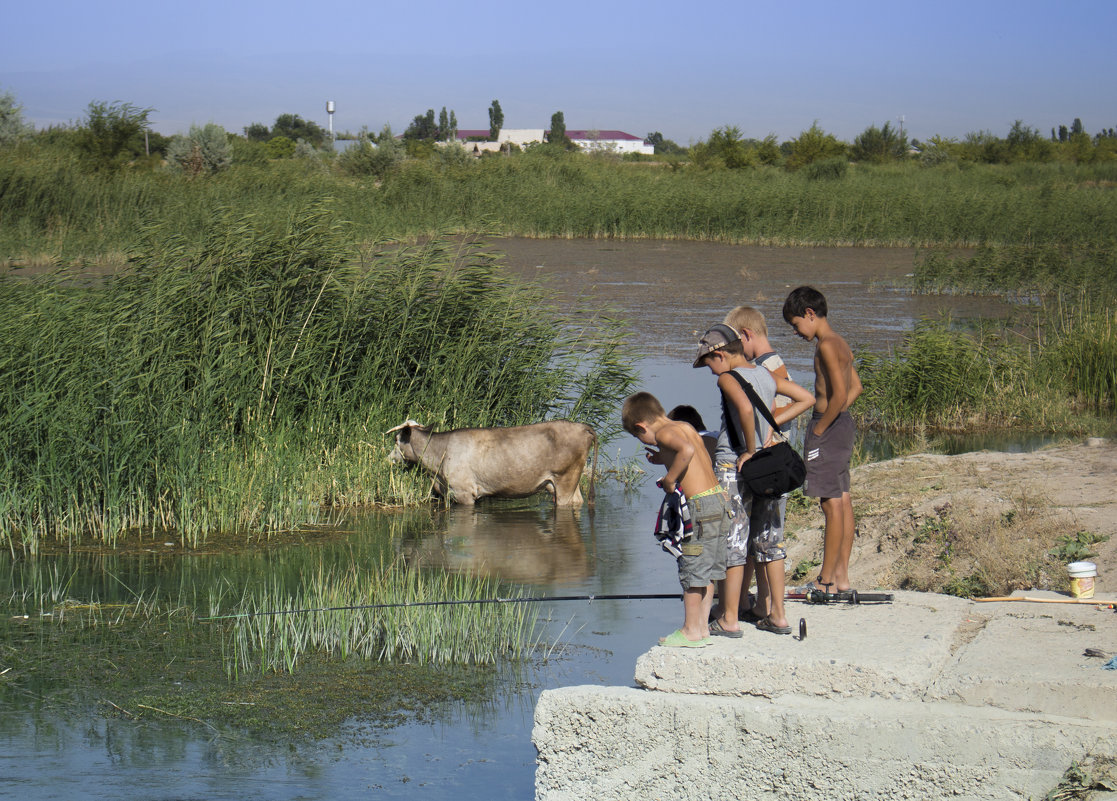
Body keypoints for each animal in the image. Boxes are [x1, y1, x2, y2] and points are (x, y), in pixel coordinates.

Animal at [386, 417, 598, 507]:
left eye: (396, 440)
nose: (388, 459)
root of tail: (581, 426)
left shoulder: (464, 492)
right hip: (563, 482)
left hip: (566, 479)